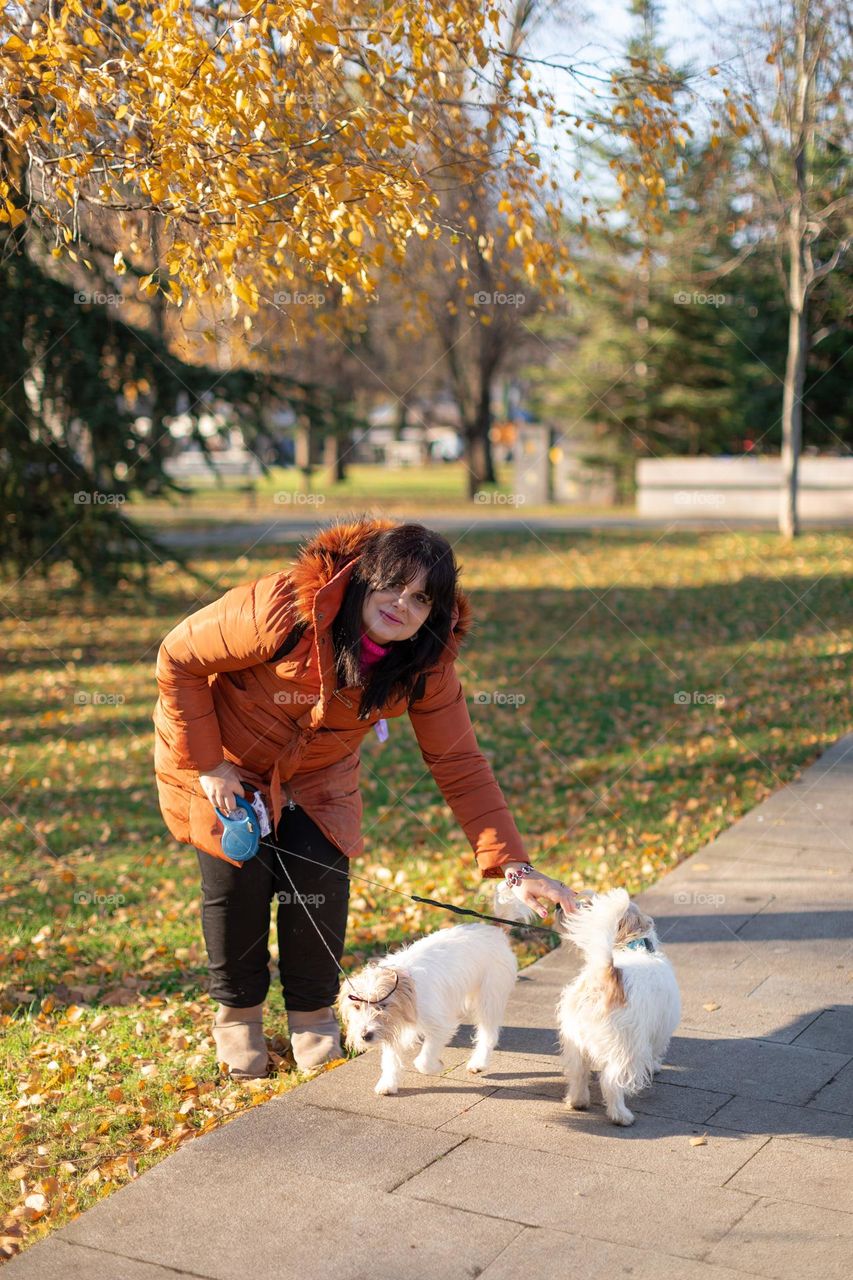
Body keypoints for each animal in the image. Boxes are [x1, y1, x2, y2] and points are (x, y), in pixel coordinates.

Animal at [338, 926, 512, 1095]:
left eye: (383, 1005)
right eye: (356, 1006)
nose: (365, 1036)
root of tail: (492, 929)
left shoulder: (441, 1025)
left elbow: (424, 1060)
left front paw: (436, 1066)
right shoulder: (392, 1030)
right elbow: (390, 1058)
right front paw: (388, 1083)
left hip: (488, 1000)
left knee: (488, 1034)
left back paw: (479, 1062)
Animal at [555, 885, 681, 1126]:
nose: (558, 905)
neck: (635, 945)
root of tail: (604, 976)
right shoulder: (659, 1030)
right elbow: (656, 1051)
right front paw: (655, 1067)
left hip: (575, 1042)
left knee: (578, 1074)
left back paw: (577, 1101)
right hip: (626, 1049)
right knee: (610, 1082)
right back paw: (621, 1115)